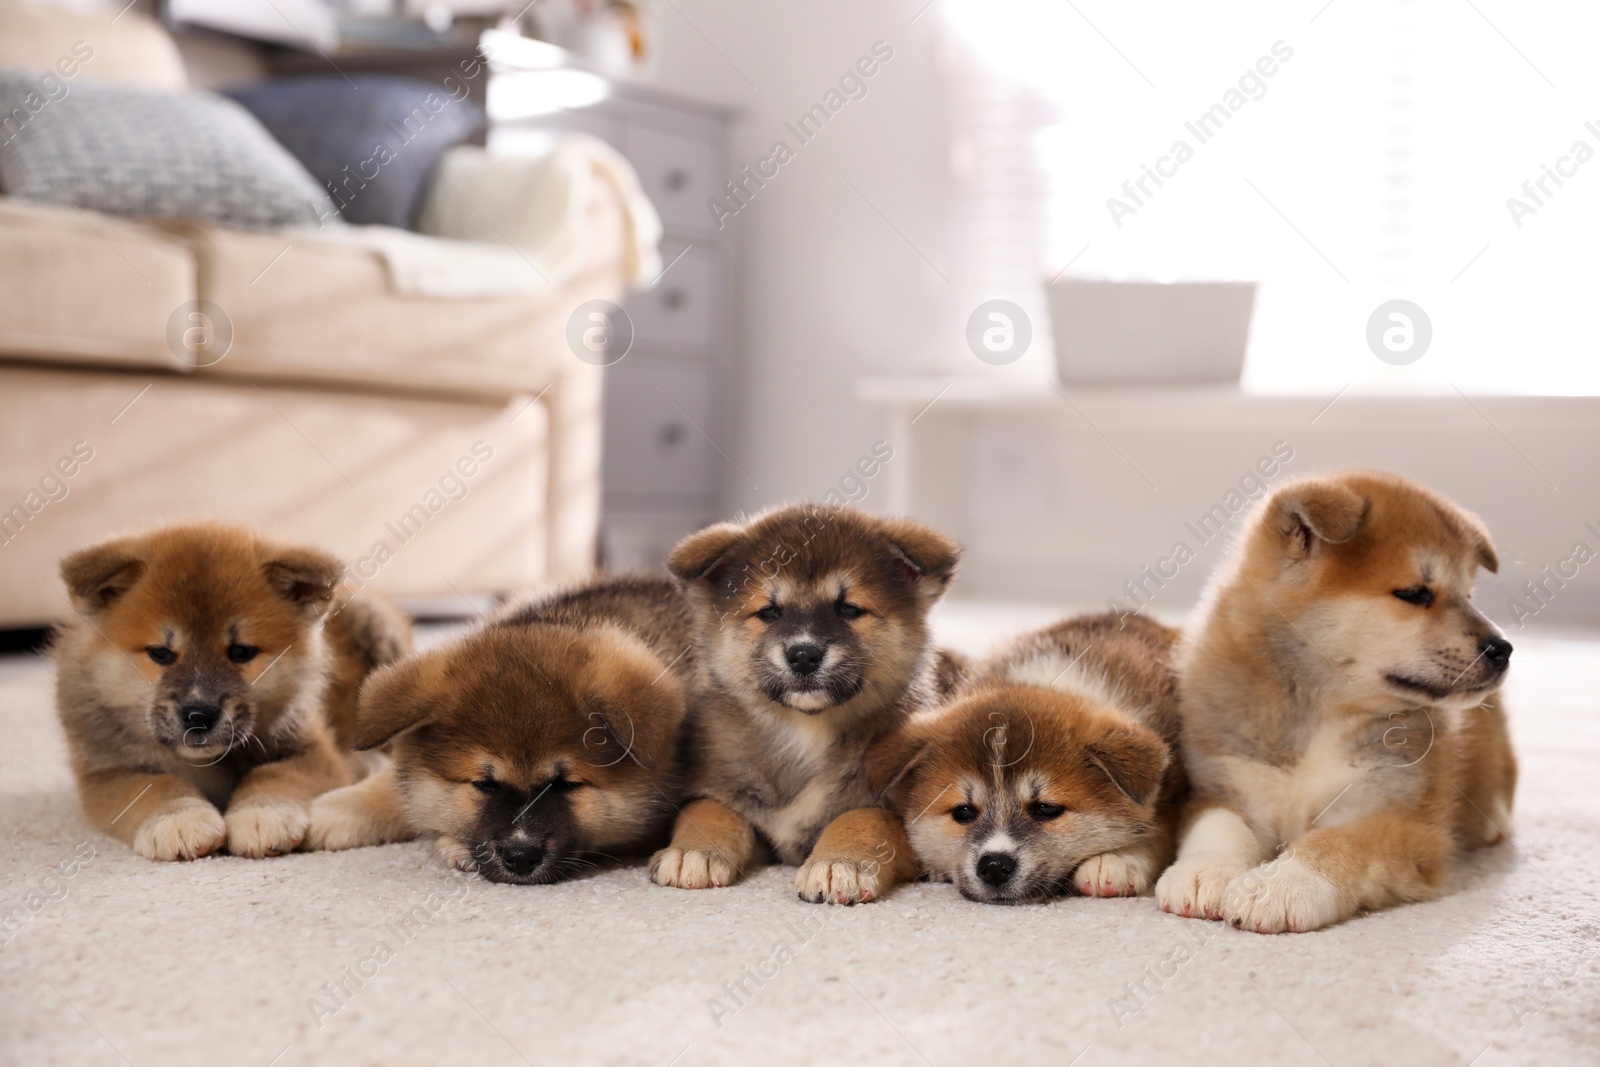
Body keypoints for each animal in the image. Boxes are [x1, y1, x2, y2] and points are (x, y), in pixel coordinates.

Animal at [58, 521, 412, 863]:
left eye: (241, 652)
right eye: (160, 653)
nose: (199, 715)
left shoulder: (310, 750)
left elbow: (273, 774)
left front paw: (261, 816)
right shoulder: (106, 772)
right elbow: (154, 785)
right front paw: (179, 820)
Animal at [643, 505, 953, 908]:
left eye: (848, 609)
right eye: (769, 612)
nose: (804, 655)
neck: (805, 732)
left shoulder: (910, 817)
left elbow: (862, 818)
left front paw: (839, 863)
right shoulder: (719, 785)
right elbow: (710, 810)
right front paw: (693, 853)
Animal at [1158, 470, 1516, 927]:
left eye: (1468, 595)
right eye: (1414, 593)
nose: (1502, 649)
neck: (1320, 711)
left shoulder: (1398, 813)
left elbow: (1333, 843)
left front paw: (1282, 883)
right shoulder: (1225, 785)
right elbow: (1219, 827)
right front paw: (1204, 870)